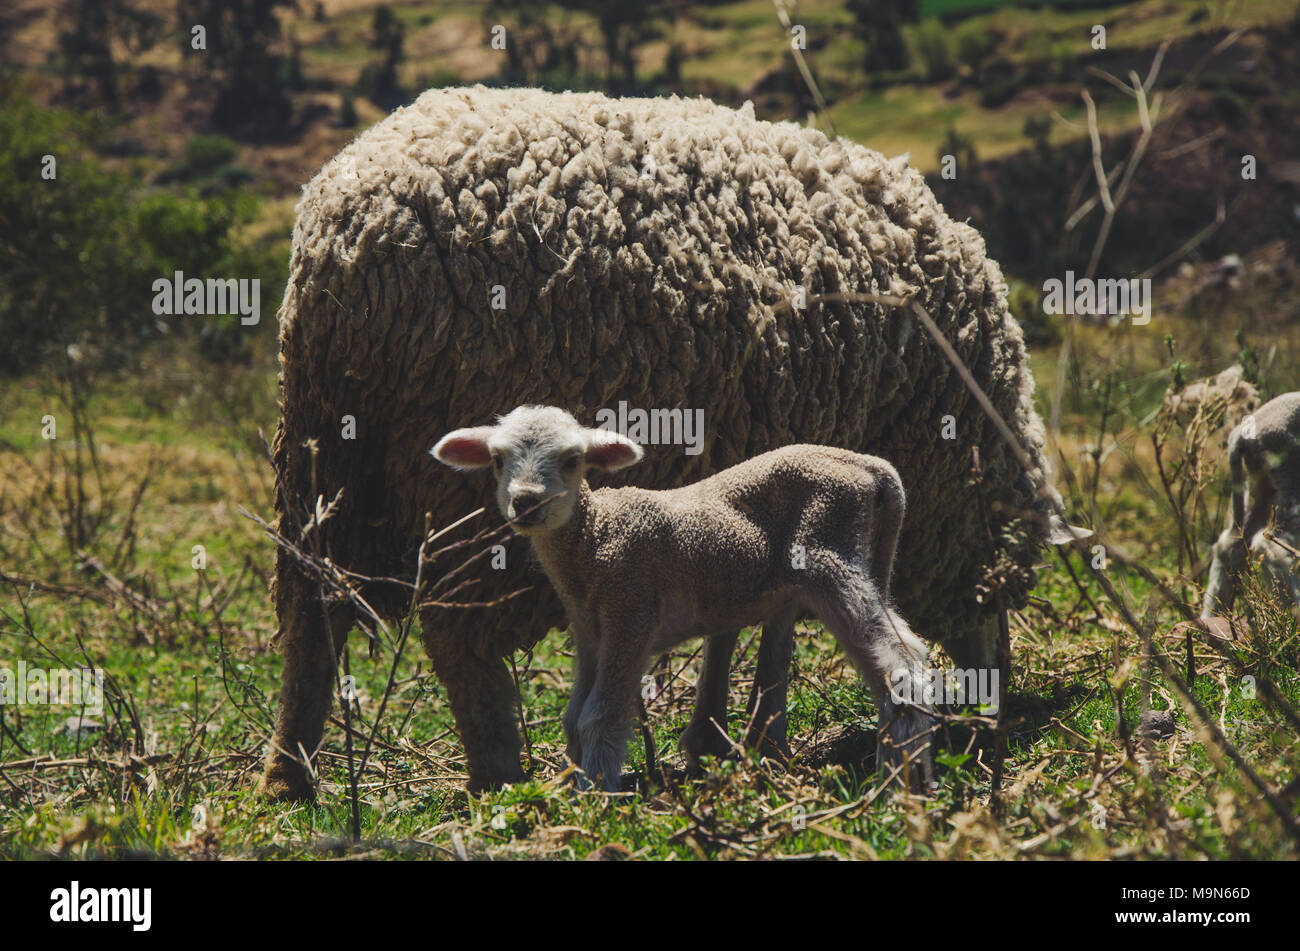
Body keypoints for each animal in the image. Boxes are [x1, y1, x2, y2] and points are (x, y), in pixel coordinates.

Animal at [434, 405, 935, 789]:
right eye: (497, 460)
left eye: (573, 459)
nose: (526, 502)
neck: (594, 539)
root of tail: (870, 468)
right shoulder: (589, 631)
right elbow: (573, 716)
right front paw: (567, 781)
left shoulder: (629, 611)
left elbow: (600, 714)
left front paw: (594, 791)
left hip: (830, 549)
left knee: (901, 662)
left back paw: (899, 784)